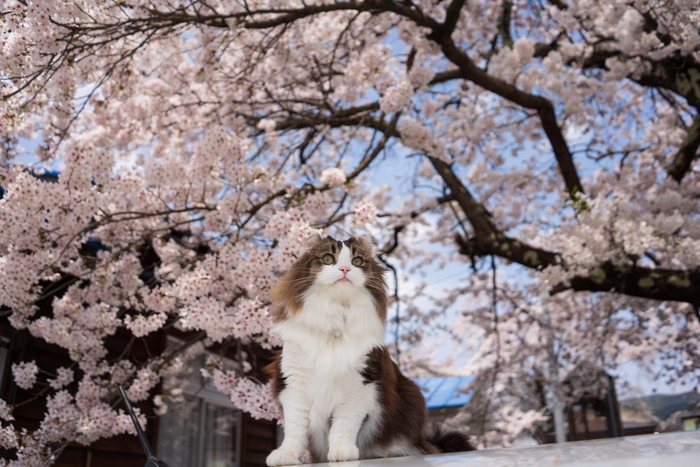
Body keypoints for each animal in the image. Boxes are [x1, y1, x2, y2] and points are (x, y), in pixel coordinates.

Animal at [266, 236, 474, 466]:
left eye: (357, 261)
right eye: (328, 259)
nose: (345, 269)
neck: (336, 321)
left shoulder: (360, 384)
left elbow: (344, 424)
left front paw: (342, 452)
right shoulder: (294, 386)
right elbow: (295, 429)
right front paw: (286, 455)